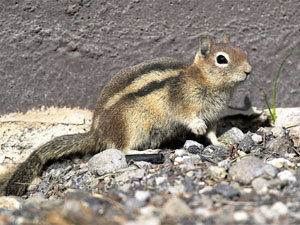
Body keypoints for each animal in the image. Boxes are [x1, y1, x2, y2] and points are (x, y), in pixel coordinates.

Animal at [1, 34, 251, 196]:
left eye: (244, 52)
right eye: (221, 59)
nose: (249, 71)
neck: (206, 81)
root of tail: (97, 132)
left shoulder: (213, 116)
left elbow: (212, 133)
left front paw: (220, 142)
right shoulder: (181, 102)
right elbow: (188, 117)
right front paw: (197, 127)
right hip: (131, 125)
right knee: (122, 149)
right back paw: (148, 151)